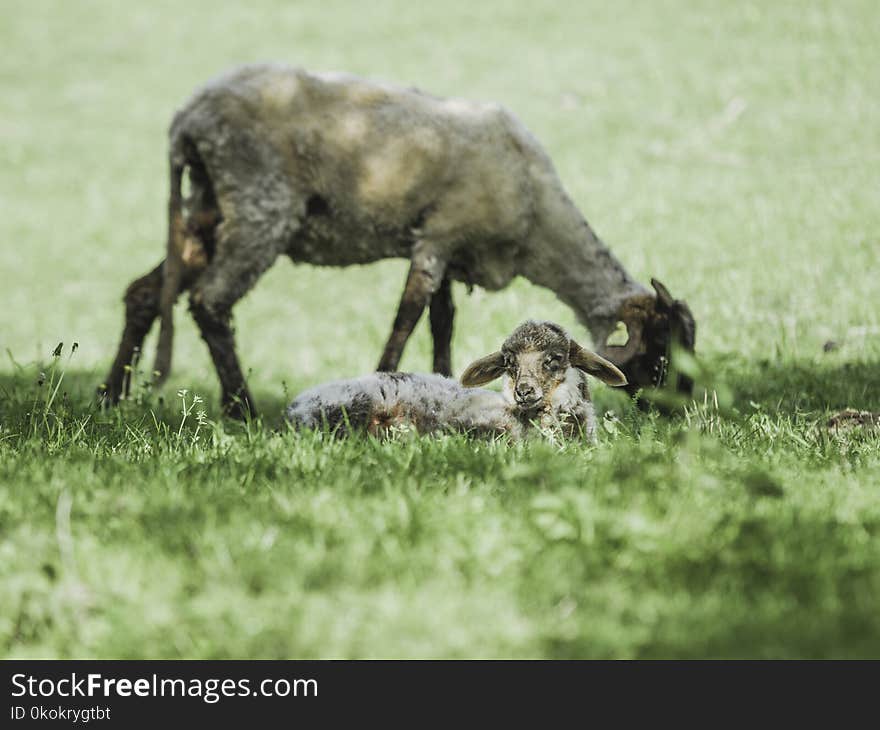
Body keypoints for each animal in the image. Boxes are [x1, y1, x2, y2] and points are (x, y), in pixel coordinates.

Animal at [98, 65, 696, 418]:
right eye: (662, 345)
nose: (681, 411)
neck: (537, 221)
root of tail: (187, 120)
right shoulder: (437, 238)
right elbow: (406, 320)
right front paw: (382, 385)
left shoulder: (451, 250)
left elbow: (441, 324)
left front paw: (450, 384)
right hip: (258, 206)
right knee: (210, 301)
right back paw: (241, 407)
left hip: (206, 211)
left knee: (145, 293)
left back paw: (110, 396)